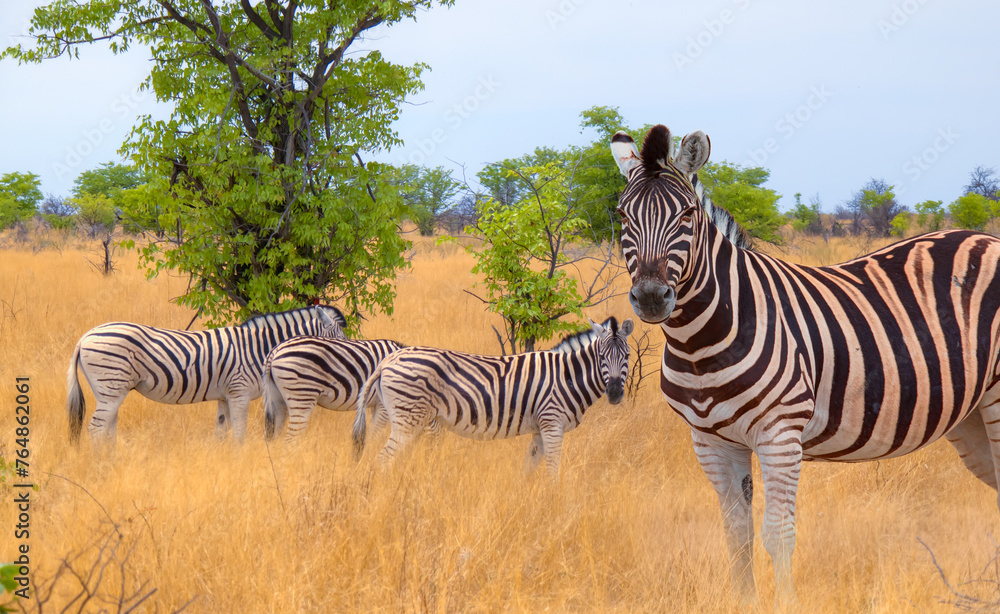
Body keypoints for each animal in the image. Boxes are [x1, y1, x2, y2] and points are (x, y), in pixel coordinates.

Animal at [66, 304, 347, 447]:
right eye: (340, 339)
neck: (258, 348)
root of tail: (84, 337)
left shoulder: (224, 396)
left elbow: (221, 434)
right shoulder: (239, 392)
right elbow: (239, 435)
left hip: (111, 390)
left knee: (106, 430)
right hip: (111, 386)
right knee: (95, 430)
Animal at [262, 336, 406, 442]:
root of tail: (276, 349)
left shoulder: (376, 404)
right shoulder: (384, 404)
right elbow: (375, 434)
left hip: (277, 399)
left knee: (274, 435)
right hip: (302, 396)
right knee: (290, 438)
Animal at [352, 317, 634, 474]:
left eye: (627, 356)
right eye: (601, 355)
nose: (615, 393)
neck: (566, 377)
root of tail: (388, 360)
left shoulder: (539, 429)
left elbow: (529, 470)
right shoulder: (553, 424)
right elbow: (553, 471)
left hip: (401, 417)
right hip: (408, 420)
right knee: (381, 461)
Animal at [610, 124, 1000, 607]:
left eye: (685, 215)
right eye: (622, 216)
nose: (650, 297)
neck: (700, 344)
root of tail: (984, 237)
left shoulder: (780, 434)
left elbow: (777, 534)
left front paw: (785, 604)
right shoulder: (710, 441)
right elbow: (736, 533)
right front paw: (744, 603)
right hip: (972, 413)